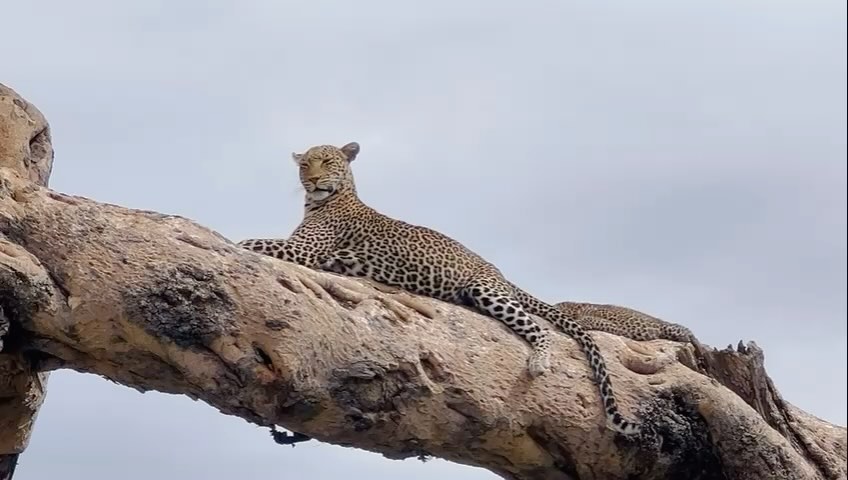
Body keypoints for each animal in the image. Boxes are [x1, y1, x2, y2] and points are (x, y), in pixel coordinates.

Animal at [237, 141, 642, 435]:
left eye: (327, 162)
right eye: (305, 165)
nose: (313, 181)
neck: (322, 201)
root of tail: (496, 269)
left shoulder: (305, 250)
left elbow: (250, 241)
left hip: (486, 291)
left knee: (537, 328)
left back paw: (538, 362)